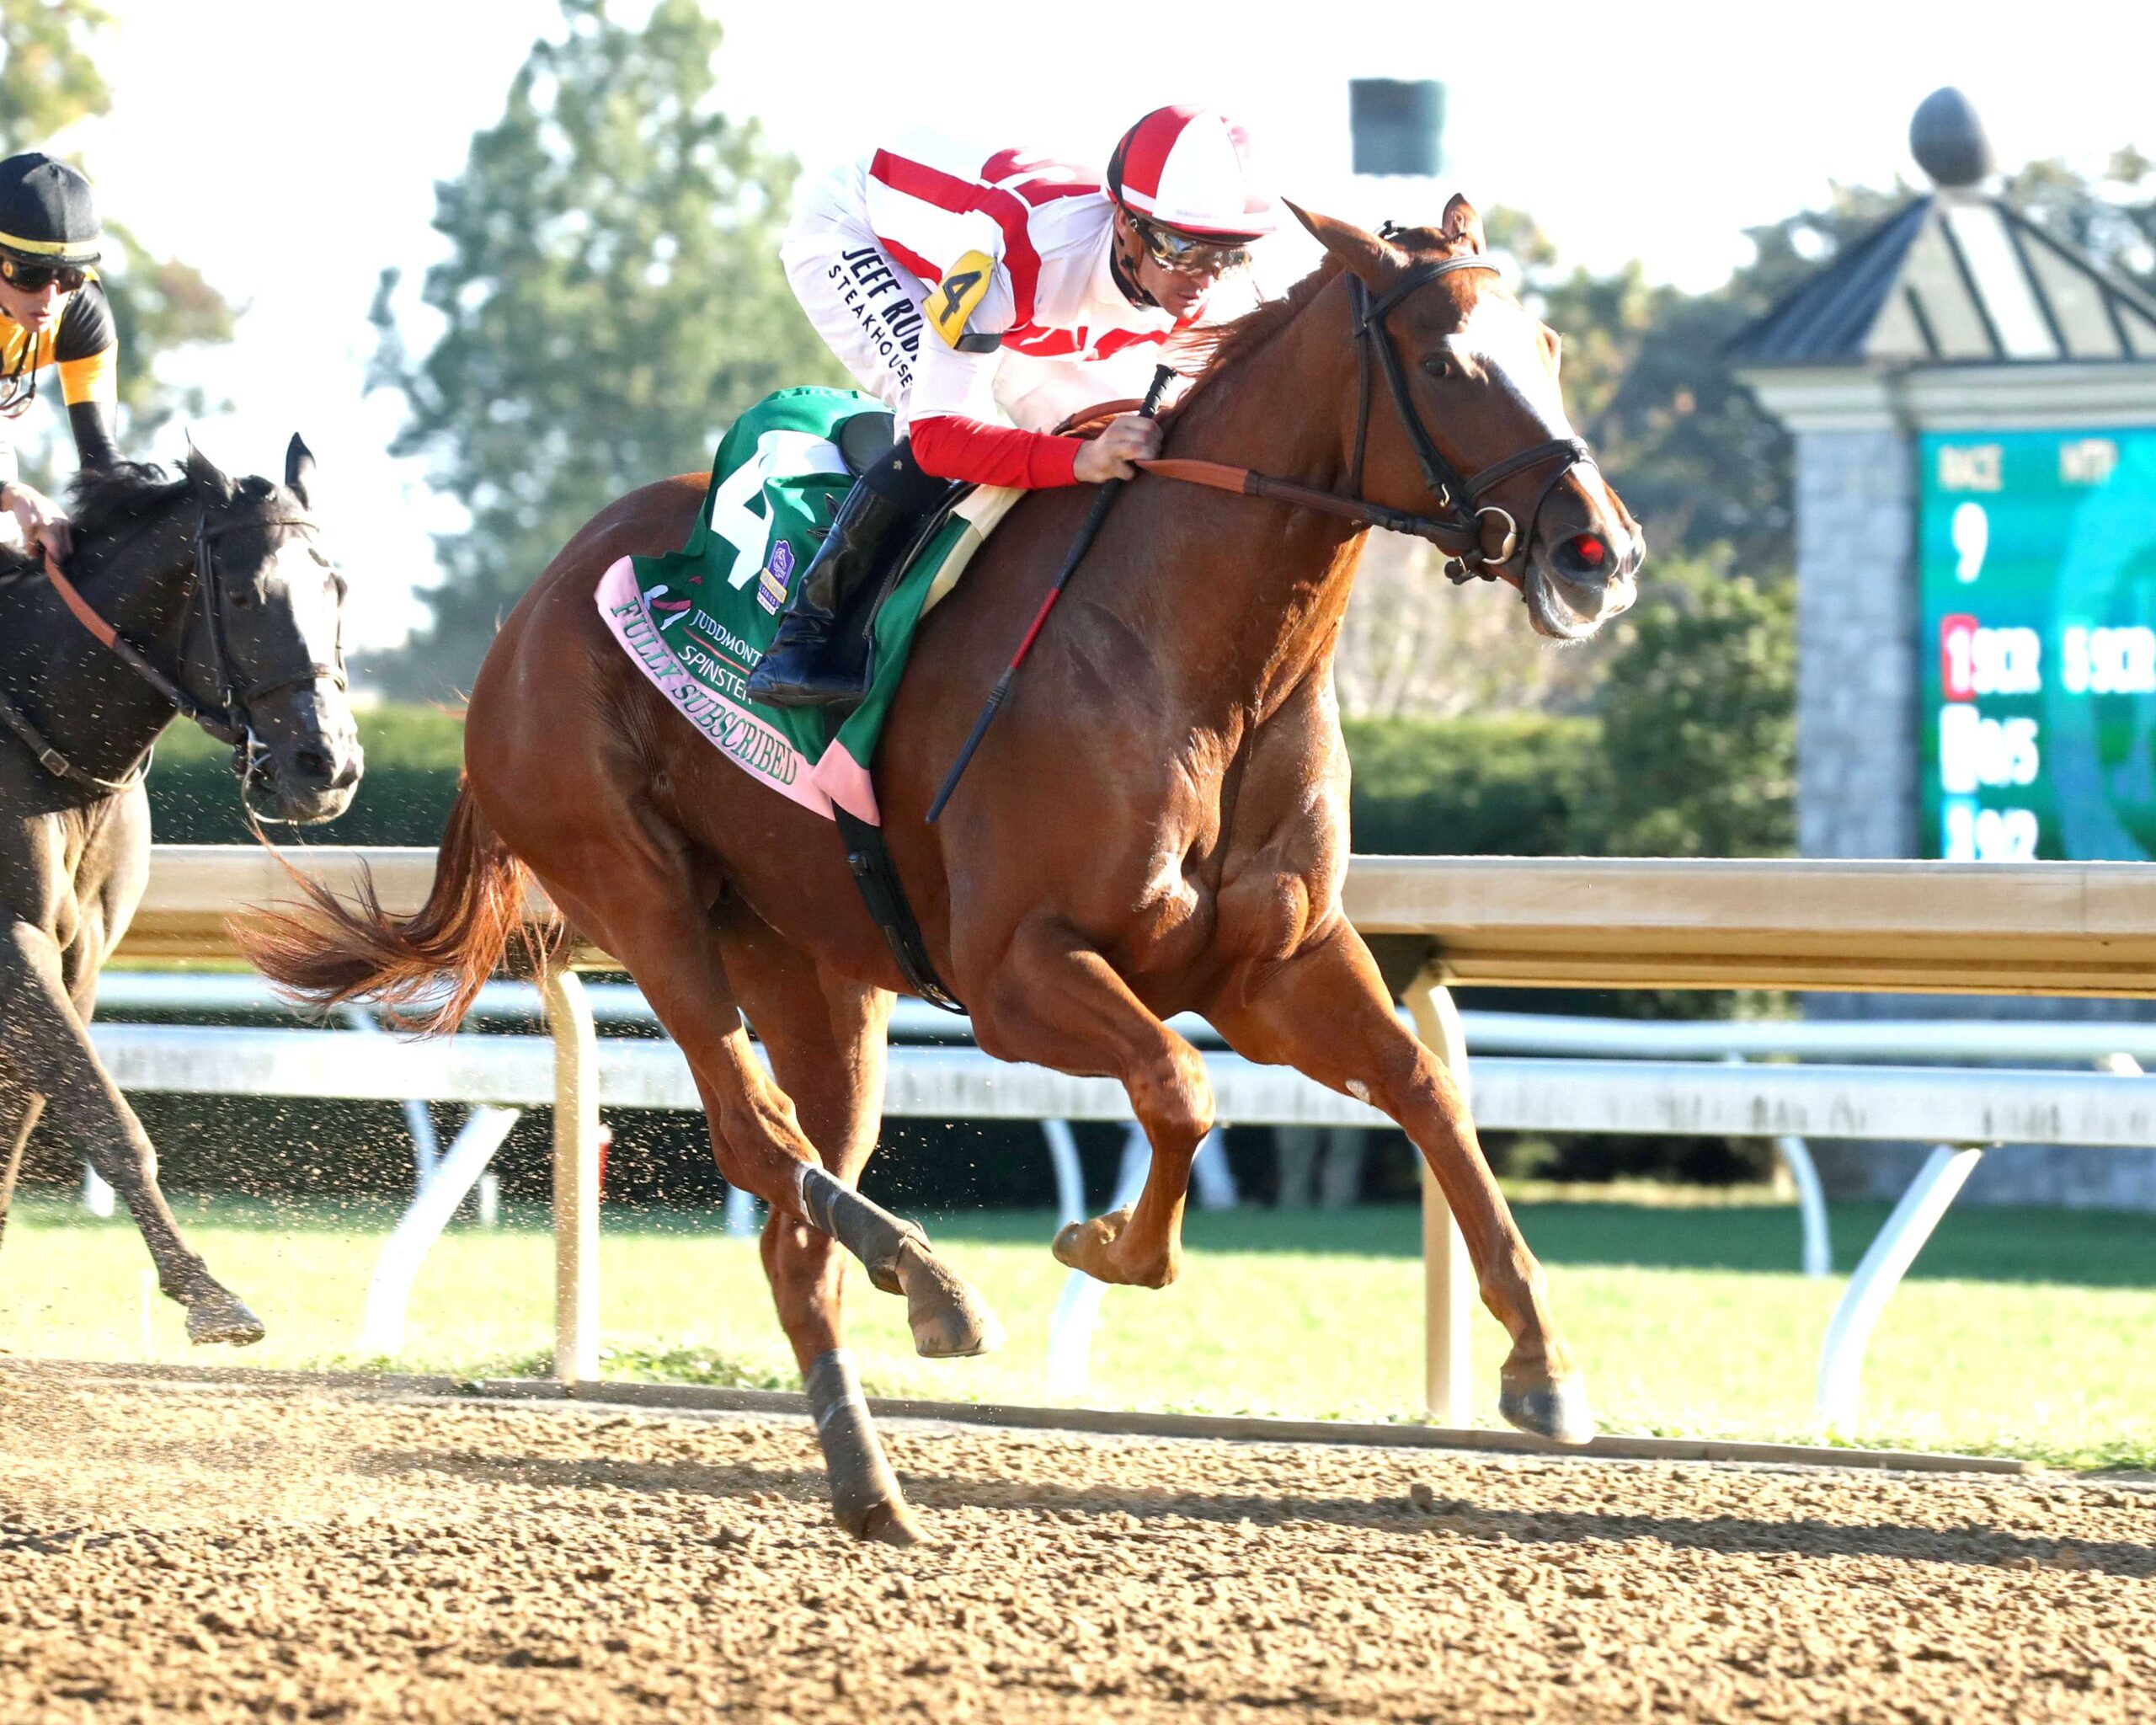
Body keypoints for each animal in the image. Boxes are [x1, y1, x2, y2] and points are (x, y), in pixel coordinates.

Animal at [0, 442, 362, 1344]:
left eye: (336, 588)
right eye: (242, 594)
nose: (328, 767)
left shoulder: (78, 959)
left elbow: (24, 1120)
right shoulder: (11, 942)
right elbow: (108, 1119)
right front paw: (209, 1295)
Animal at [240, 200, 1641, 1542]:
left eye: (1552, 348)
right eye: (1448, 362)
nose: (1600, 553)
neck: (1201, 659)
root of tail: (523, 615)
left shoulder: (1274, 962)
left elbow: (1426, 1088)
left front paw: (1545, 1368)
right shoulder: (1017, 971)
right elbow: (1179, 1087)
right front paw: (1107, 1243)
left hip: (811, 967)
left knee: (794, 1229)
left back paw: (870, 1472)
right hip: (637, 894)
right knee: (757, 1137)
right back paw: (935, 1282)